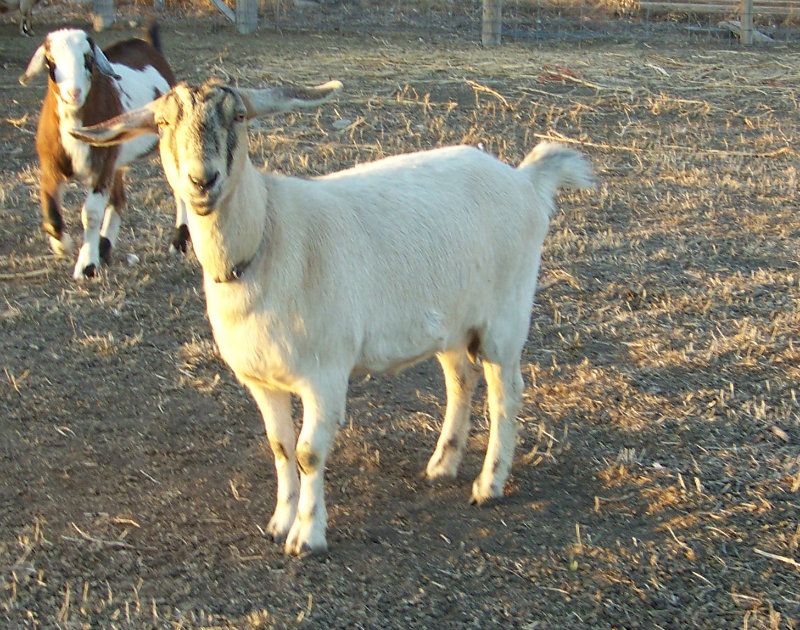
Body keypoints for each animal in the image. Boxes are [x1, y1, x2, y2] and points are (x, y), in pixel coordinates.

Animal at [19, 24, 189, 279]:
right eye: (50, 61)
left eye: (88, 58)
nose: (74, 93)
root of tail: (149, 47)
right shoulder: (51, 165)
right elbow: (49, 206)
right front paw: (62, 244)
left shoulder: (101, 167)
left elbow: (90, 214)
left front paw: (86, 265)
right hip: (115, 158)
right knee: (118, 198)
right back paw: (105, 248)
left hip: (164, 143)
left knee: (180, 190)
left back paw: (178, 243)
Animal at [71, 79, 595, 555]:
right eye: (162, 123)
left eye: (239, 117)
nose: (204, 181)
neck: (268, 237)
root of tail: (524, 180)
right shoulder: (260, 380)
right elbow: (280, 447)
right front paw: (278, 522)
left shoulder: (324, 374)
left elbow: (308, 453)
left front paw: (307, 536)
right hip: (448, 319)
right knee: (460, 380)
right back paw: (443, 464)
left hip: (505, 315)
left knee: (506, 394)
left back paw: (489, 485)